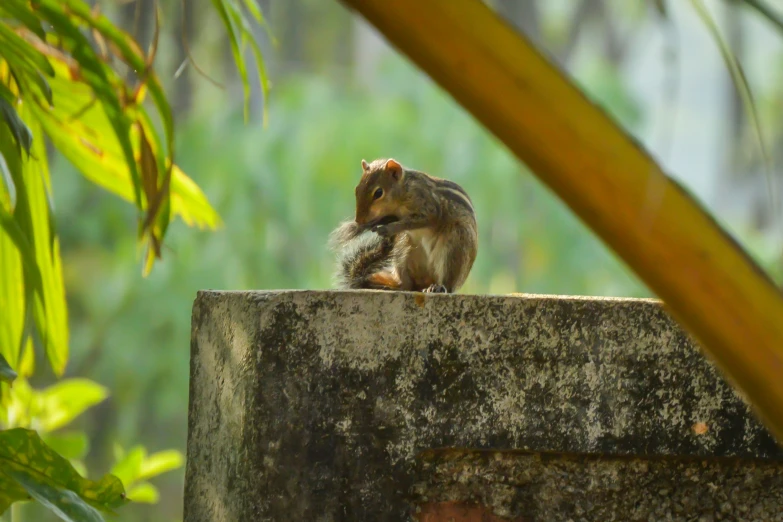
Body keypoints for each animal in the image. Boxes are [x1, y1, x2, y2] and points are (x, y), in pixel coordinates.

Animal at [330, 157, 478, 292]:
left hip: (455, 245)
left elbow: (418, 221)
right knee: (406, 285)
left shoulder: (429, 207)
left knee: (448, 281)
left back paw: (438, 287)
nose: (359, 221)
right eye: (357, 189)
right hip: (403, 249)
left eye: (378, 193)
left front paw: (388, 228)